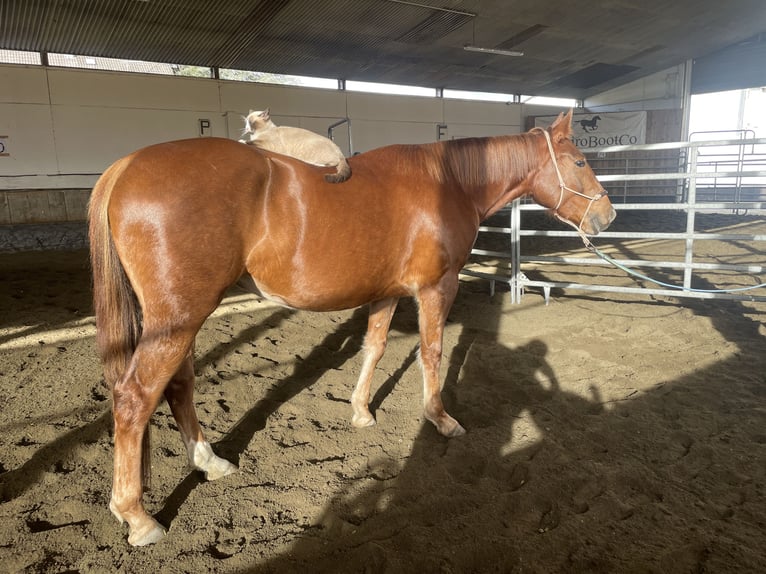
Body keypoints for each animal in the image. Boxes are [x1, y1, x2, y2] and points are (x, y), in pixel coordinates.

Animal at [88, 109, 615, 545]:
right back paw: (137, 517)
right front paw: (440, 418)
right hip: (178, 318)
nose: (608, 215)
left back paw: (209, 463)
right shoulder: (435, 289)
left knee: (178, 385)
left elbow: (375, 347)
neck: (447, 183)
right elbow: (431, 351)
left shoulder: (385, 292)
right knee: (136, 397)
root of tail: (125, 166)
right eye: (580, 161)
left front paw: (361, 411)